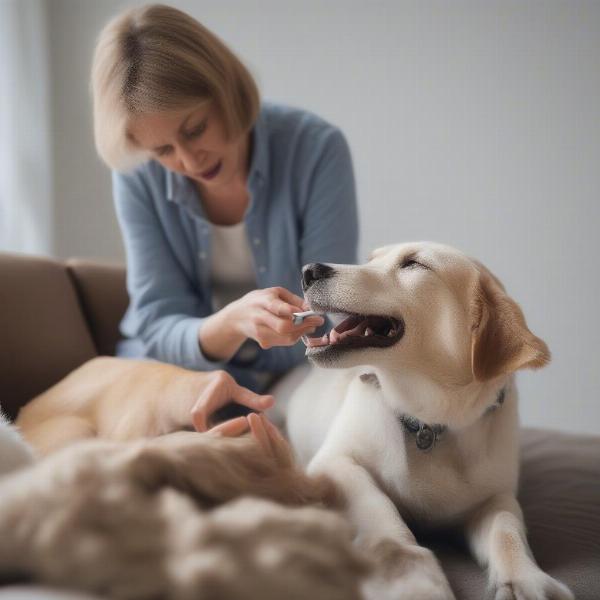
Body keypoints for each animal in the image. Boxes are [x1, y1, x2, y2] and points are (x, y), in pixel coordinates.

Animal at [278, 241, 576, 596]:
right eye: (370, 260)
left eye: (414, 264)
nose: (308, 271)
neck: (430, 419)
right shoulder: (334, 463)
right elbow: (381, 510)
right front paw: (412, 577)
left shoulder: (495, 498)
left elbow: (507, 529)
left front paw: (524, 579)